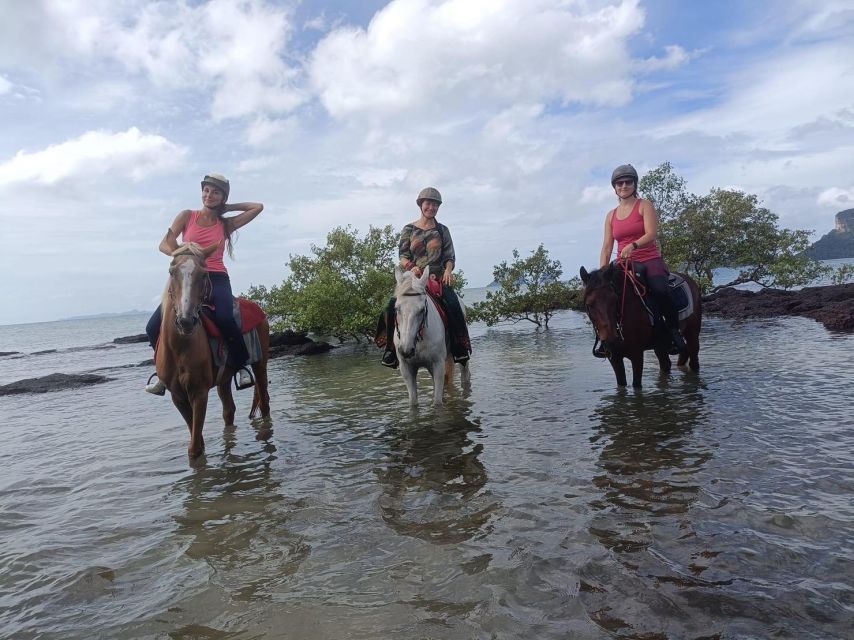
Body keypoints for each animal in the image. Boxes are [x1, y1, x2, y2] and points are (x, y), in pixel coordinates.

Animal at [157, 242, 270, 458]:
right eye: (171, 272)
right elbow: (197, 441)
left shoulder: (199, 393)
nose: (186, 321)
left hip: (260, 364)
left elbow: (194, 449)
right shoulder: (178, 396)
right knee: (229, 411)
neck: (179, 348)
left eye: (203, 274)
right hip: (223, 379)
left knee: (265, 403)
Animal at [392, 264, 472, 404]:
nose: (406, 350)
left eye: (422, 309)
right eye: (396, 308)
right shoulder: (406, 368)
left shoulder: (437, 364)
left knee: (465, 374)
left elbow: (437, 402)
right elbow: (413, 402)